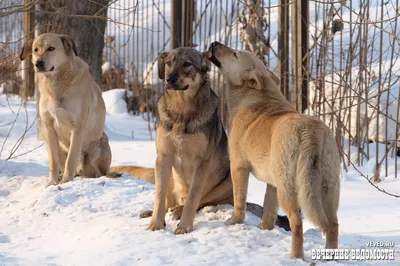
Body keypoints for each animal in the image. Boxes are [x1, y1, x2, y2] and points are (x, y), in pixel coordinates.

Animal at [19, 33, 111, 185]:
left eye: (51, 48)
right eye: (35, 50)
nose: (38, 64)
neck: (56, 87)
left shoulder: (77, 128)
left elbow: (71, 158)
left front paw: (66, 181)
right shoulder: (48, 128)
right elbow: (53, 161)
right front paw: (52, 182)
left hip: (95, 150)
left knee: (96, 172)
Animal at [209, 42, 340, 260]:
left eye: (235, 54)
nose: (213, 44)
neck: (255, 96)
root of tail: (311, 134)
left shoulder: (238, 167)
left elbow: (239, 199)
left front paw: (234, 221)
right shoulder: (272, 184)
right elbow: (269, 210)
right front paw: (265, 230)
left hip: (289, 189)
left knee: (297, 222)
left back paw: (295, 255)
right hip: (327, 189)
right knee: (333, 225)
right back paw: (330, 256)